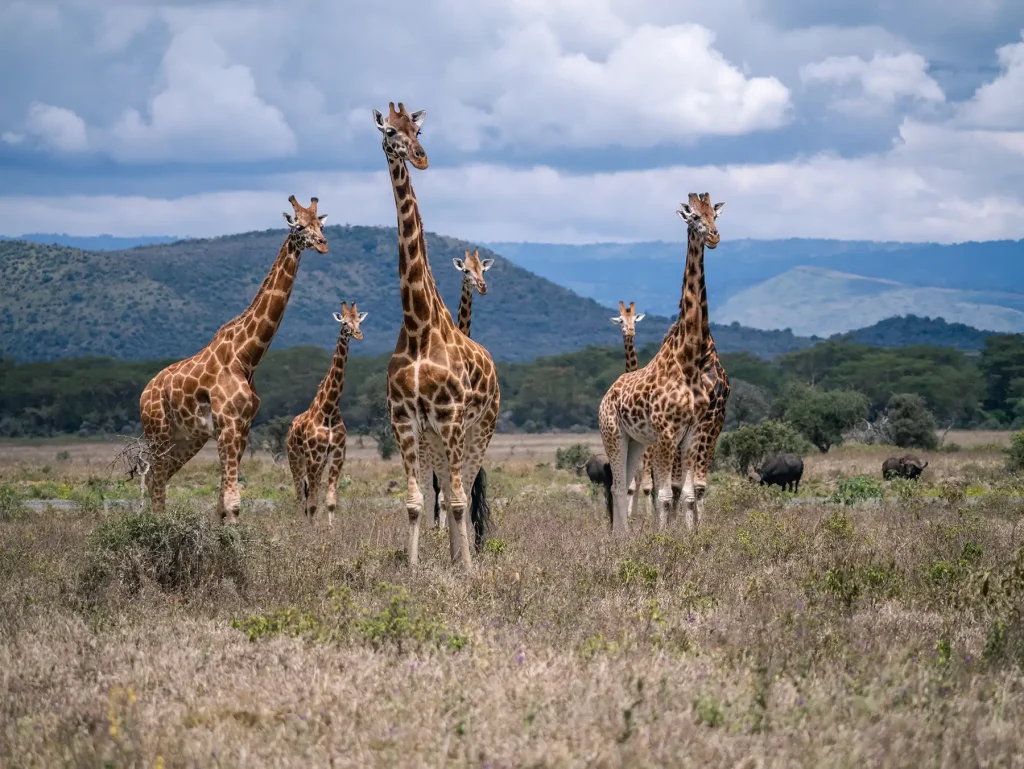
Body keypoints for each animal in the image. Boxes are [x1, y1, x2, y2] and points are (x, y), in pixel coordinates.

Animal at [139, 196, 327, 524]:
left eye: (321, 225)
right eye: (300, 226)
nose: (322, 244)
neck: (246, 355)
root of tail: (143, 394)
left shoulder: (242, 427)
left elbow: (222, 502)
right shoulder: (228, 425)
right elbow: (233, 501)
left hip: (186, 438)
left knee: (157, 478)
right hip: (158, 432)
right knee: (156, 477)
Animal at [284, 301, 368, 528]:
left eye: (359, 321)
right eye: (344, 322)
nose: (358, 334)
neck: (329, 410)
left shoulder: (337, 453)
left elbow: (330, 500)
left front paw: (331, 530)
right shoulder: (314, 455)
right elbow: (312, 501)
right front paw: (311, 531)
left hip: (317, 462)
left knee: (307, 495)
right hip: (296, 459)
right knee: (300, 496)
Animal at [374, 102, 501, 569]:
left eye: (419, 130)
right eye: (390, 131)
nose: (421, 156)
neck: (417, 326)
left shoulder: (450, 417)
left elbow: (462, 502)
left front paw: (467, 568)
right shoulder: (405, 421)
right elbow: (415, 503)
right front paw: (412, 569)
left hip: (478, 431)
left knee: (461, 493)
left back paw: (464, 558)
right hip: (436, 440)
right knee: (446, 491)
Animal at [598, 191, 724, 536]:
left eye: (715, 215)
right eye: (693, 216)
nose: (714, 237)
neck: (689, 361)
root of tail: (606, 395)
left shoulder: (693, 432)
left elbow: (687, 492)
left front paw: (690, 538)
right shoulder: (667, 433)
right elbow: (665, 494)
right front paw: (664, 539)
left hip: (637, 442)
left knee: (626, 484)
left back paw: (625, 536)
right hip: (613, 434)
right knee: (618, 485)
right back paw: (620, 538)